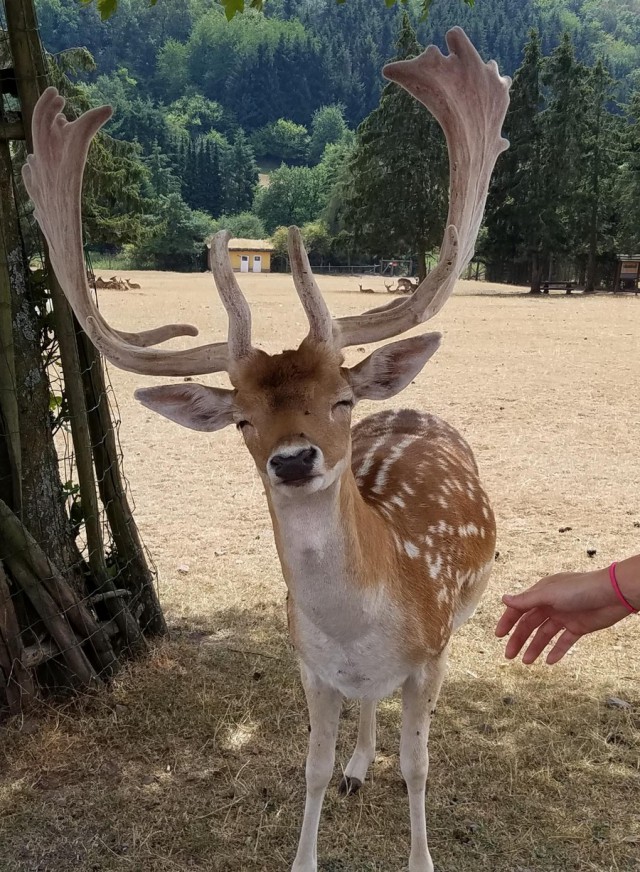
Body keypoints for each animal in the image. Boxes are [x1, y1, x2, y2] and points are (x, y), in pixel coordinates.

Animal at [23, 27, 510, 872]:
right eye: (244, 419)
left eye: (341, 399)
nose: (294, 459)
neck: (360, 624)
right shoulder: (308, 664)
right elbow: (309, 766)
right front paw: (310, 841)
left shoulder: (429, 652)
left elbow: (419, 766)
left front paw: (420, 857)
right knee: (364, 710)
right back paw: (358, 764)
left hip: (465, 611)